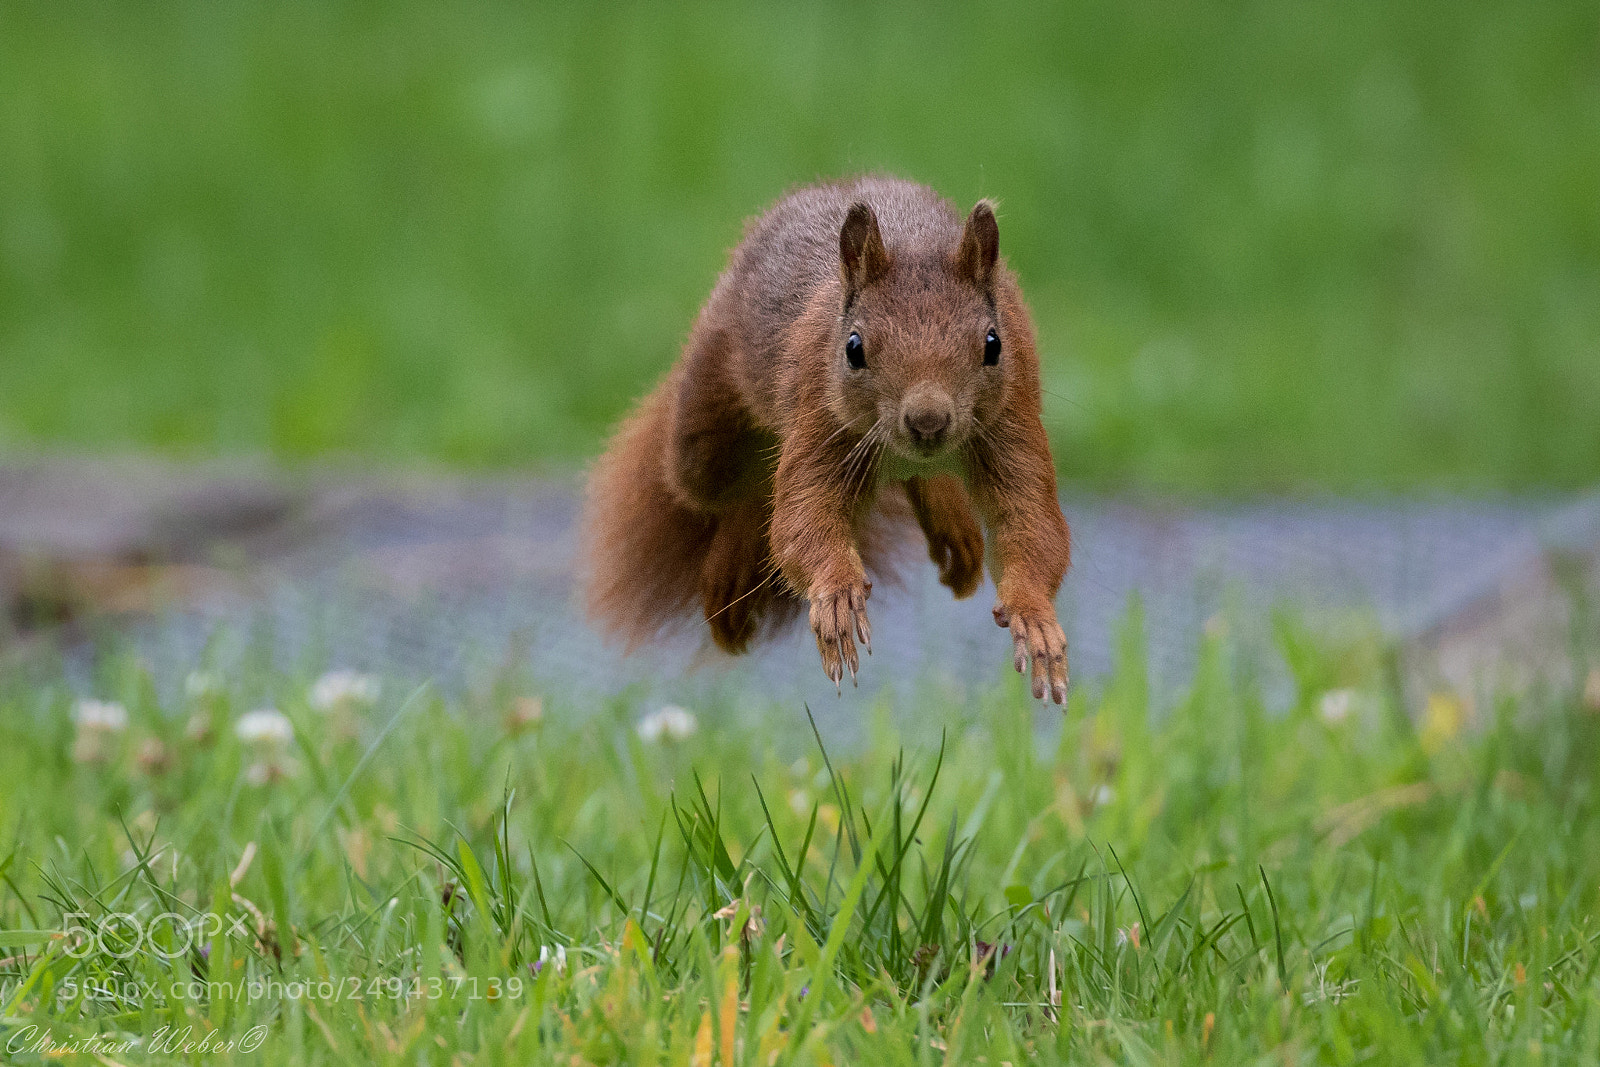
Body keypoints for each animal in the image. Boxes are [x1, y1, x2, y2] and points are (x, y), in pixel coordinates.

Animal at [580, 176, 1071, 704]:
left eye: (993, 345)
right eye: (853, 348)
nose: (928, 421)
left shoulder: (1012, 420)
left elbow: (1031, 522)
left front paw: (1035, 620)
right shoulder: (818, 409)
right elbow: (804, 519)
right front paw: (836, 597)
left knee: (915, 480)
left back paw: (950, 524)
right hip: (703, 441)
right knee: (740, 491)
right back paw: (730, 574)